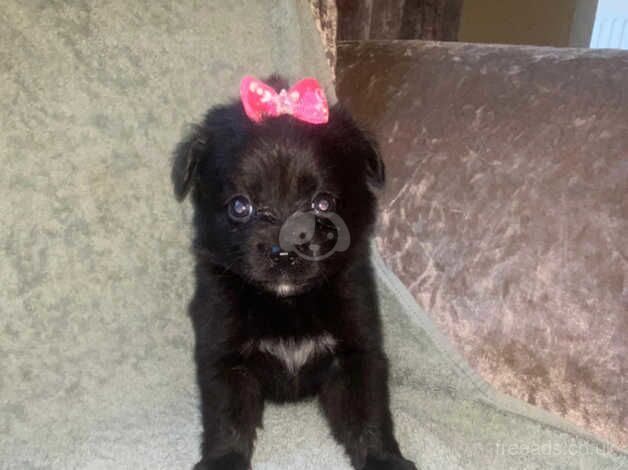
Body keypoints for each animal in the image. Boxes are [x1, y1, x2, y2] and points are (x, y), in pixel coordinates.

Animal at [173, 75, 418, 468]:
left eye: (323, 203)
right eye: (240, 206)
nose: (285, 253)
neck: (287, 302)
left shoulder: (357, 352)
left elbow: (369, 414)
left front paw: (385, 460)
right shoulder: (225, 357)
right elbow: (227, 421)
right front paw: (222, 462)